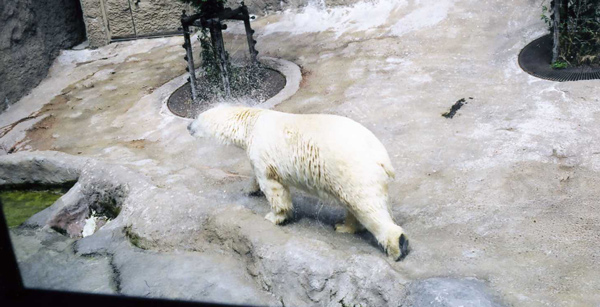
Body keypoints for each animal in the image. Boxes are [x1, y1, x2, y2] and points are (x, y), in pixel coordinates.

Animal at [190, 104, 410, 262]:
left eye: (197, 117)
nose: (188, 126)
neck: (251, 122)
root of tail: (381, 158)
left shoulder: (263, 153)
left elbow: (273, 187)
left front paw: (274, 216)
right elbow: (255, 176)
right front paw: (249, 190)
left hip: (353, 171)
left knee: (367, 207)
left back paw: (398, 247)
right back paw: (343, 226)